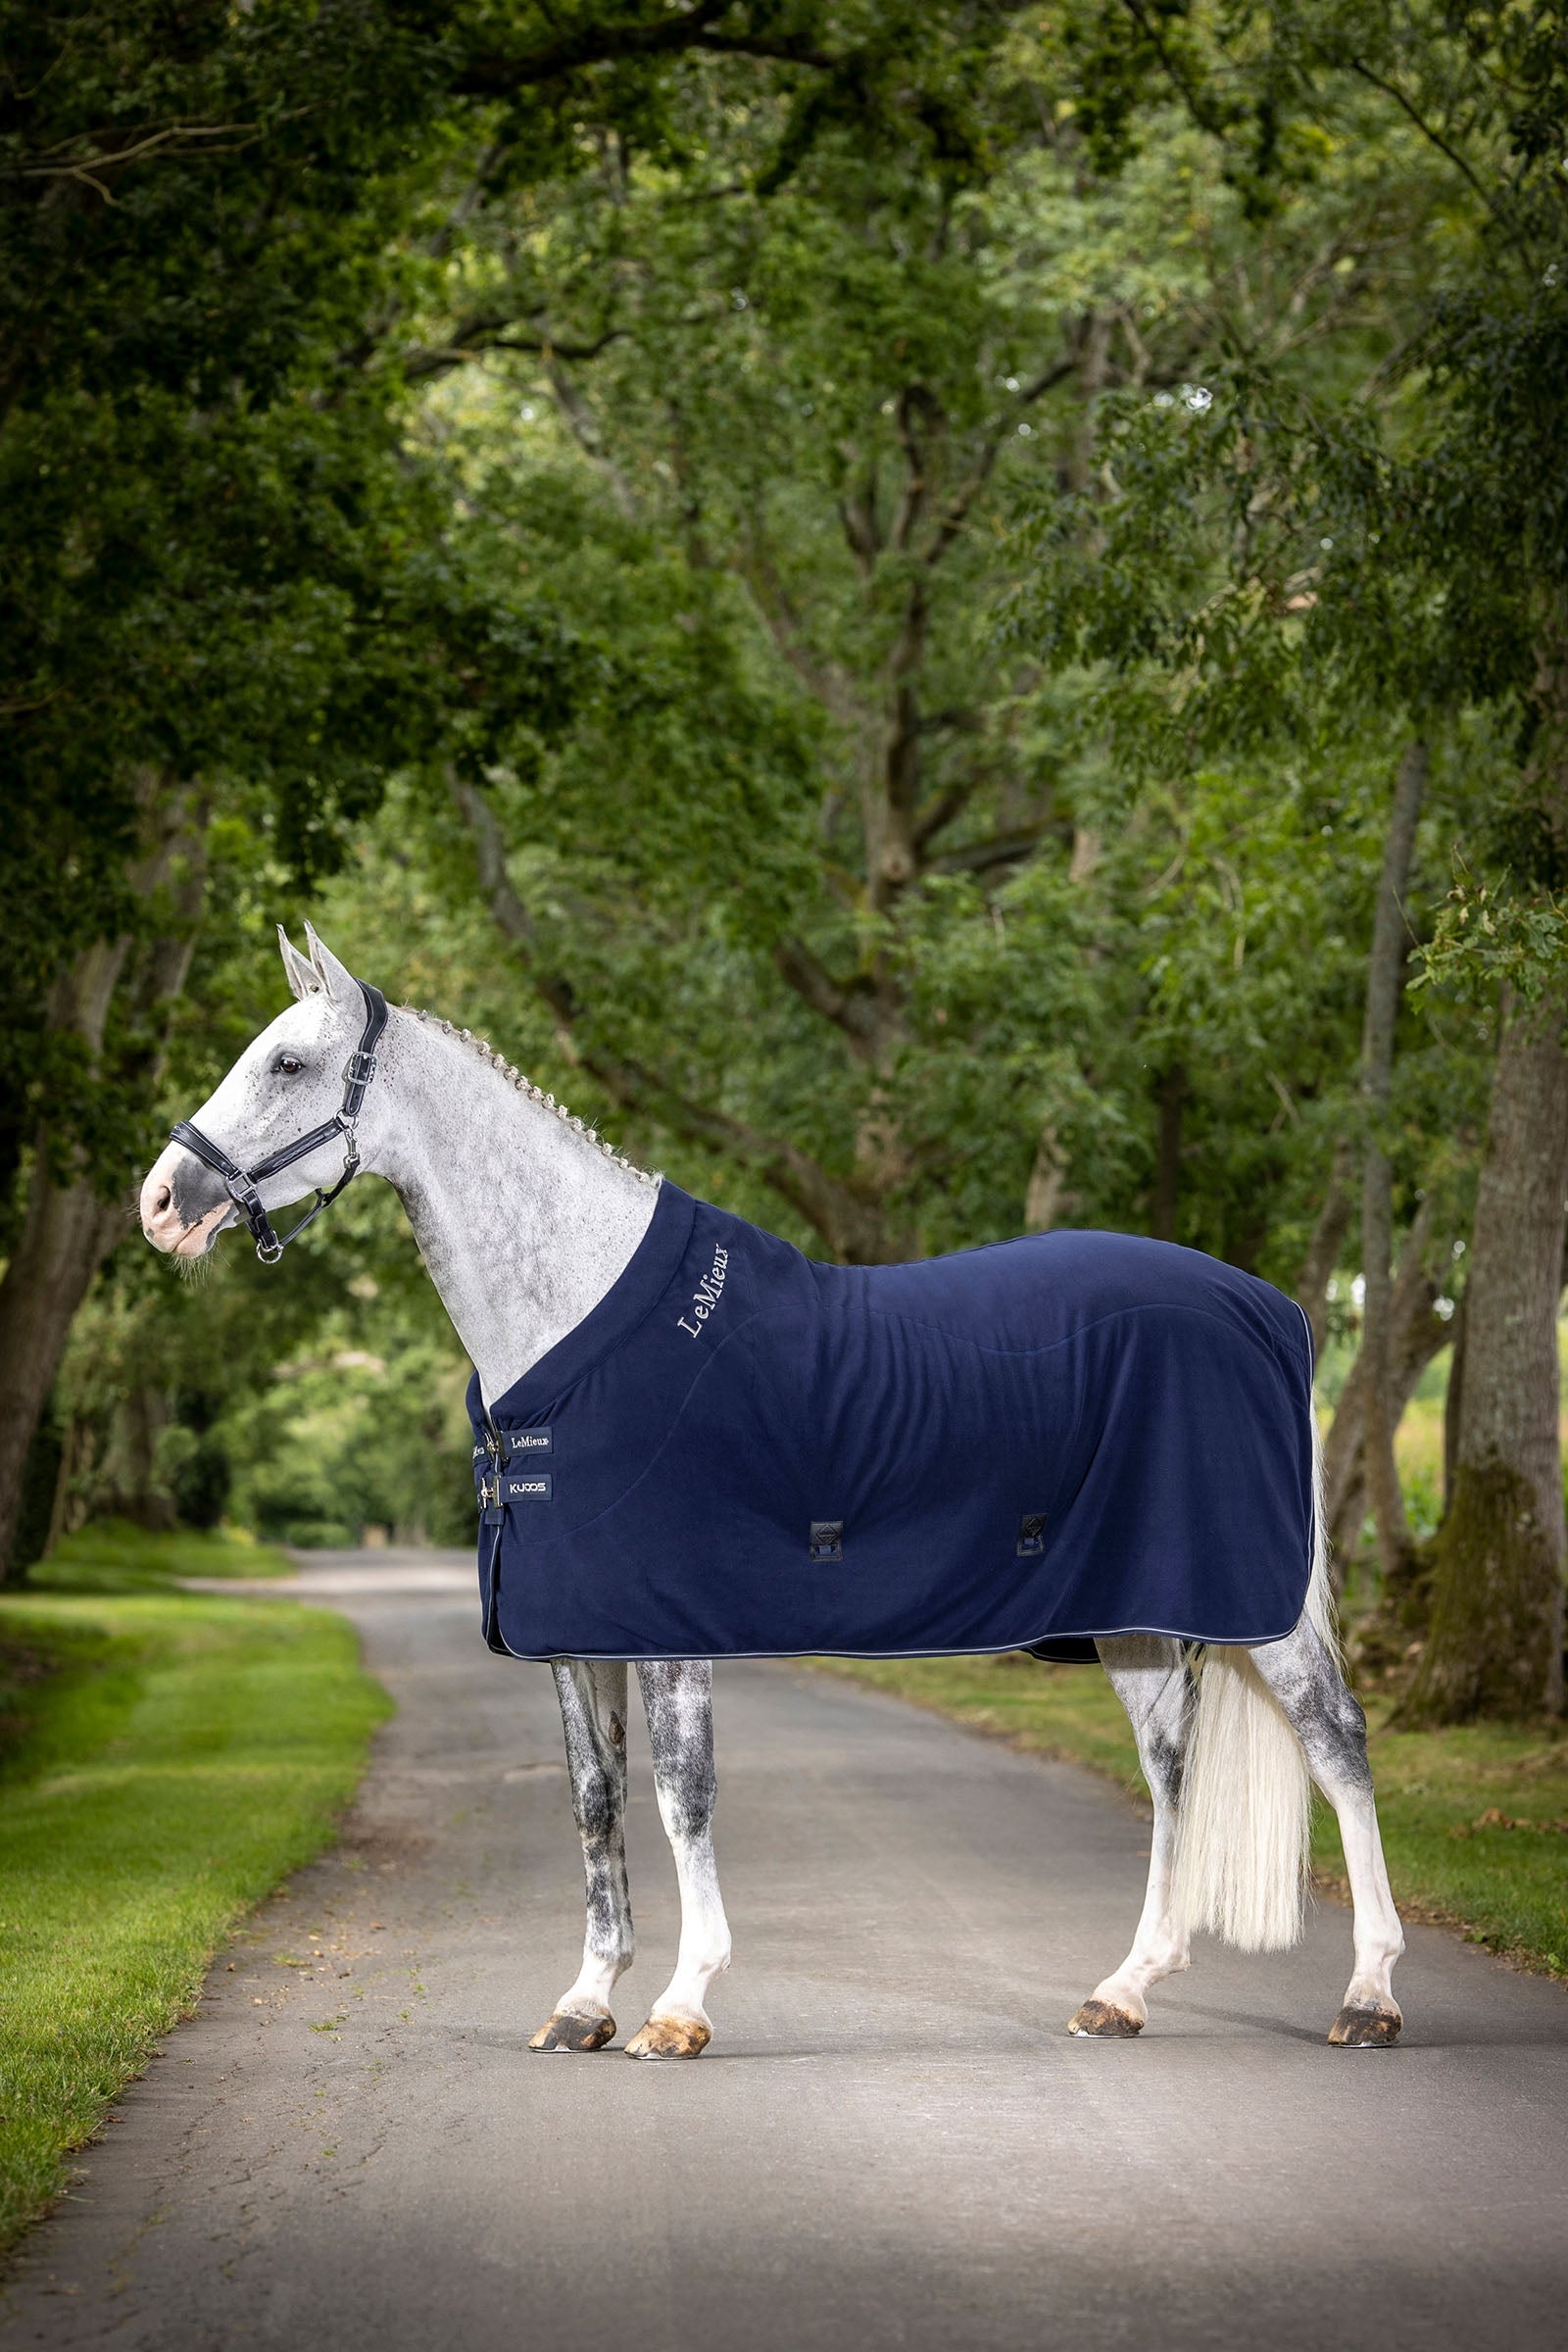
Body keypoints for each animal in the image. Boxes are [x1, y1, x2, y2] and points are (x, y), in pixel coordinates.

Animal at [140, 924, 1405, 2058]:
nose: (160, 1204)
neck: (580, 1319)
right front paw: (585, 2002)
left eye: (286, 1064)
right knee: (1169, 1772)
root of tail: (1267, 1308)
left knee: (1337, 1749)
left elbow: (681, 1796)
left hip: (1260, 1614)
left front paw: (680, 2005)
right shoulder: (576, 1635)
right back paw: (1124, 1991)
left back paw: (1369, 1997)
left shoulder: (666, 1626)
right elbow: (595, 1802)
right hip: (1136, 1619)